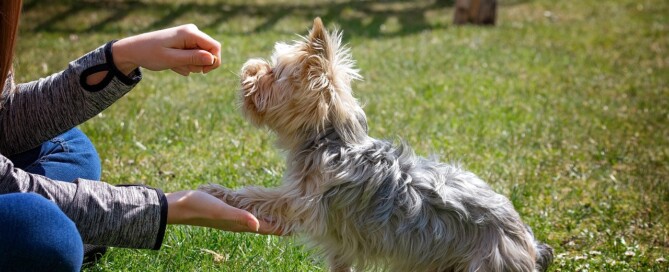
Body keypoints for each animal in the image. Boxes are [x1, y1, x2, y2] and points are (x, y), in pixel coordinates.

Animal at [198, 17, 552, 272]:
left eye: (272, 73)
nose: (248, 68)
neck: (330, 140)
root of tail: (528, 243)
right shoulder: (338, 241)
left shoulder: (301, 202)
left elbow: (259, 196)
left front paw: (218, 192)